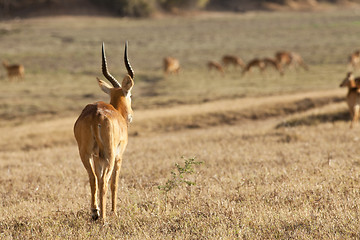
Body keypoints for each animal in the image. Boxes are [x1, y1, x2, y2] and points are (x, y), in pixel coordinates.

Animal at [74, 41, 135, 221]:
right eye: (130, 95)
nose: (131, 116)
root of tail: (97, 114)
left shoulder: (96, 157)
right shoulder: (119, 156)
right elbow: (115, 182)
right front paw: (114, 211)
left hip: (85, 154)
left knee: (93, 178)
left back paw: (95, 212)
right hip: (110, 155)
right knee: (104, 181)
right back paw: (104, 218)